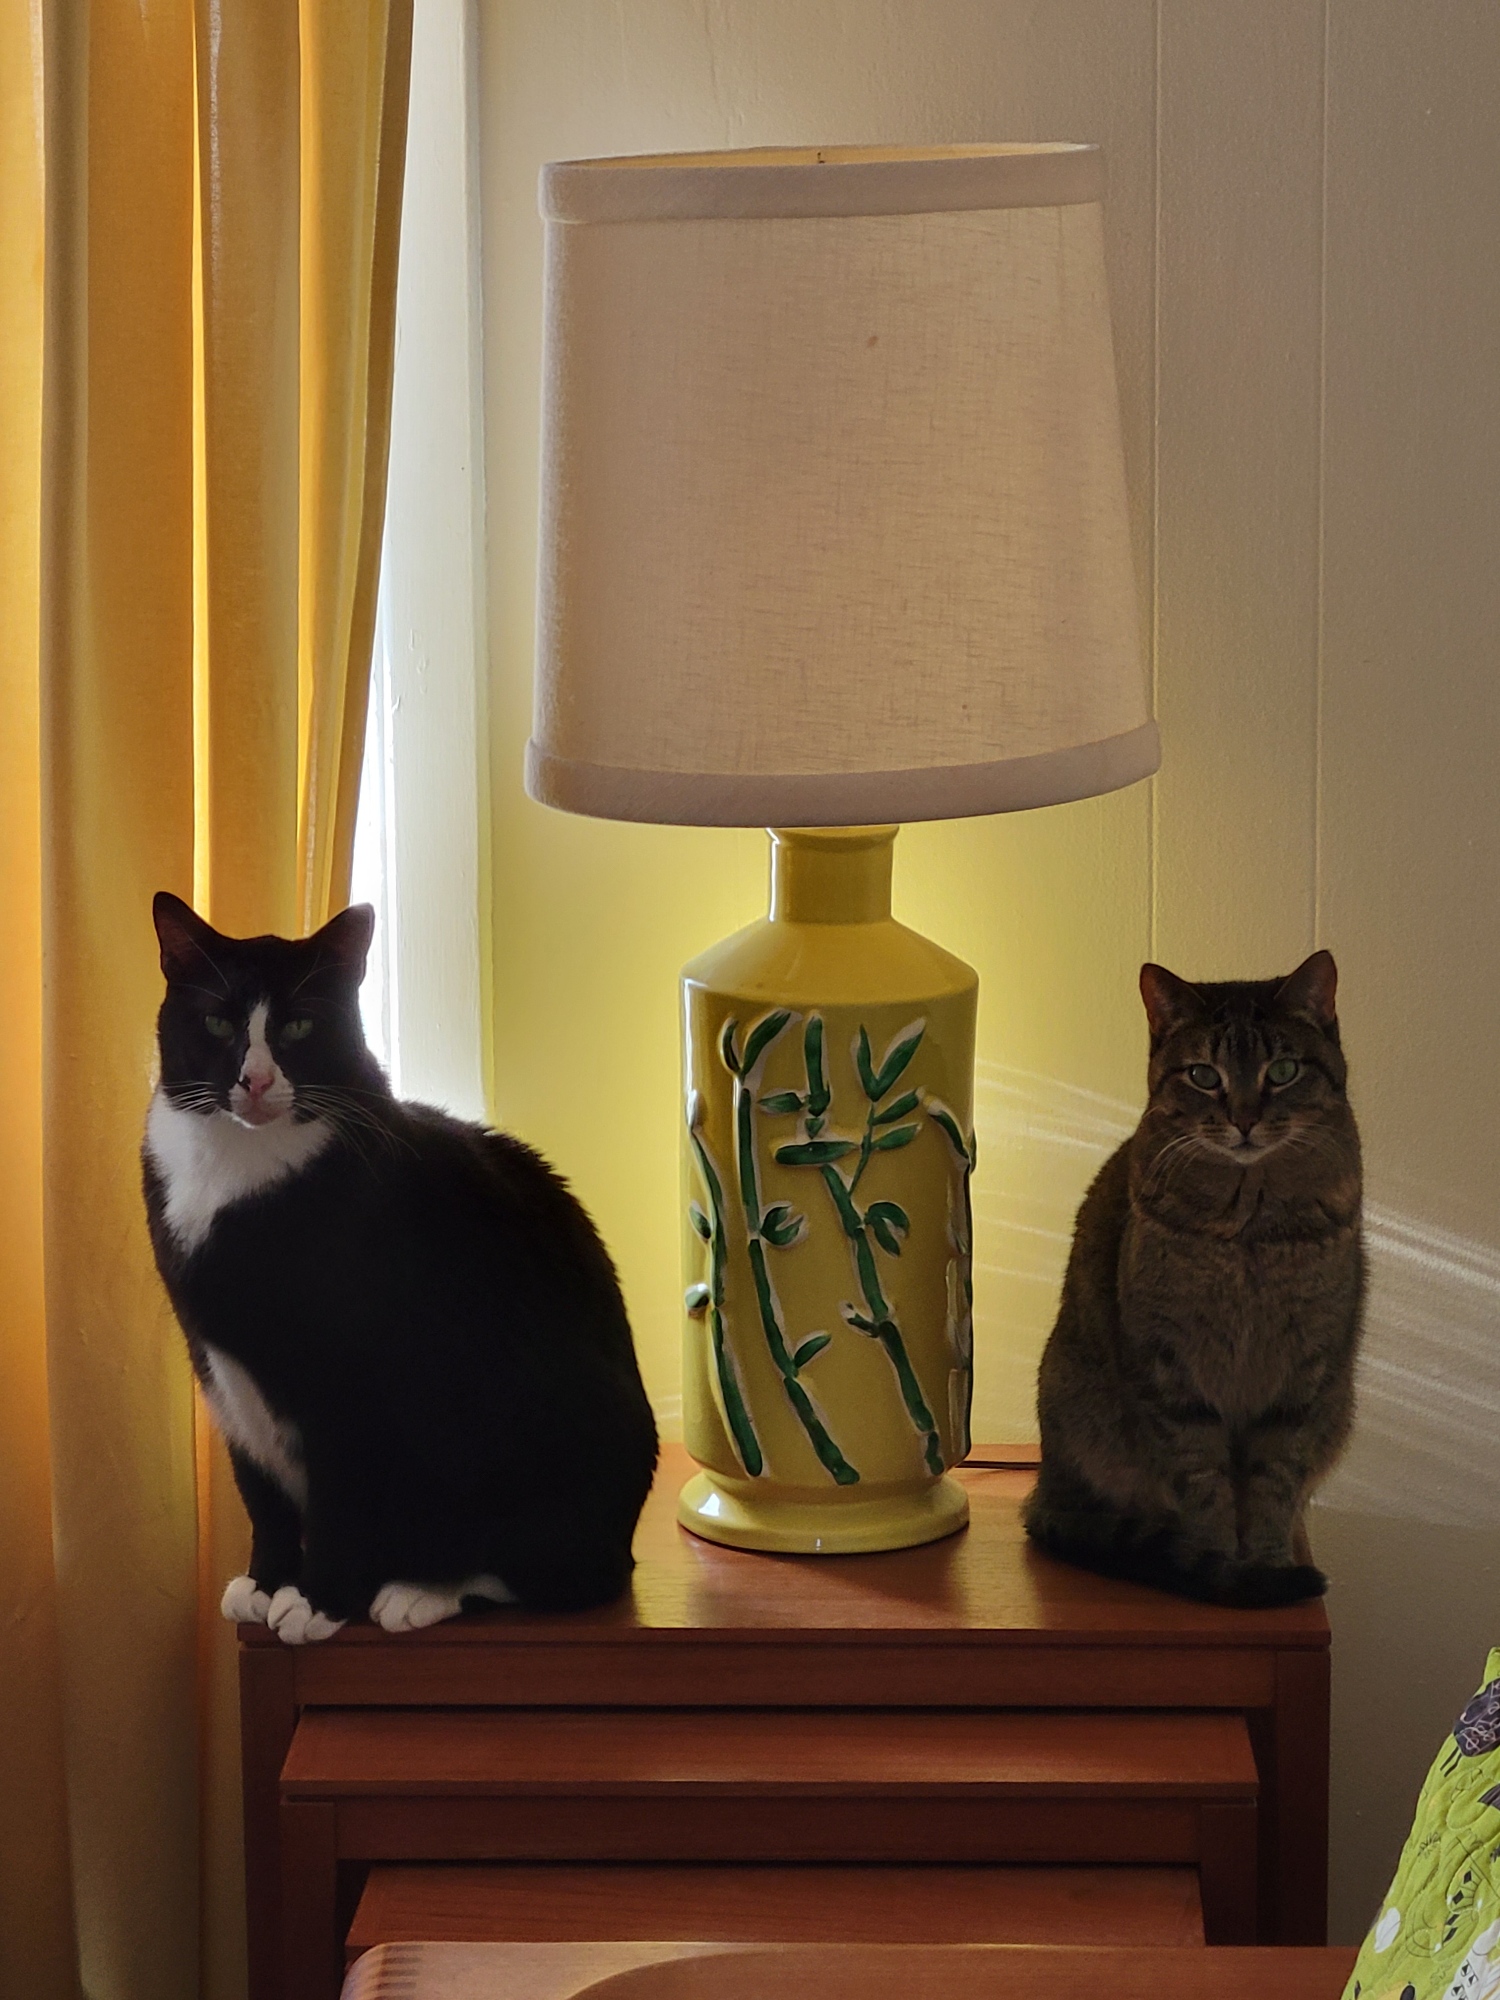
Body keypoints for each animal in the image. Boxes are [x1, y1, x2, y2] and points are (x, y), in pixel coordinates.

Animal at [142, 892, 658, 1645]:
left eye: (298, 1025)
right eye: (216, 1021)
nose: (256, 1080)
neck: (236, 1172)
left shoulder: (353, 1378)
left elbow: (342, 1495)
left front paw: (319, 1598)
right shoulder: (219, 1368)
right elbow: (261, 1492)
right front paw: (267, 1582)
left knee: (571, 1576)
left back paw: (420, 1589)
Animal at [1023, 950, 1363, 1609]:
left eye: (1283, 1070)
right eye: (1204, 1075)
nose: (1245, 1120)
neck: (1251, 1229)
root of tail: (1042, 1488)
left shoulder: (1303, 1375)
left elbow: (1272, 1487)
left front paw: (1268, 1563)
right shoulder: (1171, 1372)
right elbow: (1204, 1486)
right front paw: (1223, 1568)